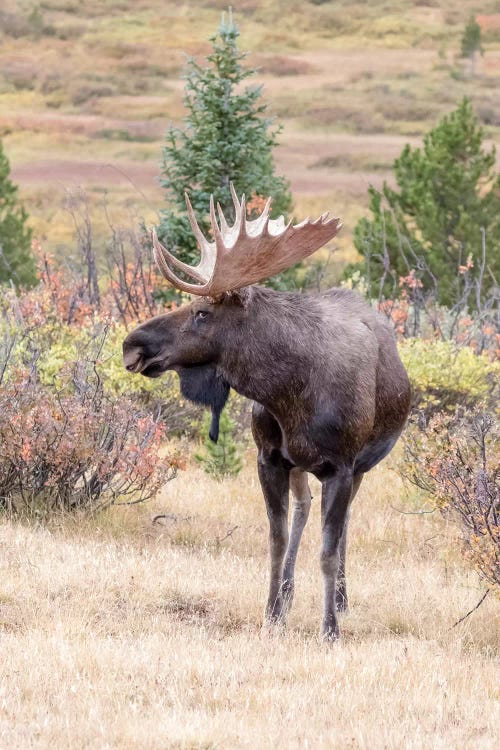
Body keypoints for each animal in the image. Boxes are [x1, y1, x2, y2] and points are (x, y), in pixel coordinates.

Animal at [122, 188, 410, 640]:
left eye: (202, 312)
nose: (132, 344)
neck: (290, 395)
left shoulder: (343, 464)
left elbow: (328, 551)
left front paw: (329, 629)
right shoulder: (269, 458)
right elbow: (275, 540)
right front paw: (272, 613)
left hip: (363, 463)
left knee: (344, 523)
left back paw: (342, 600)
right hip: (301, 465)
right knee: (305, 507)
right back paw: (291, 593)